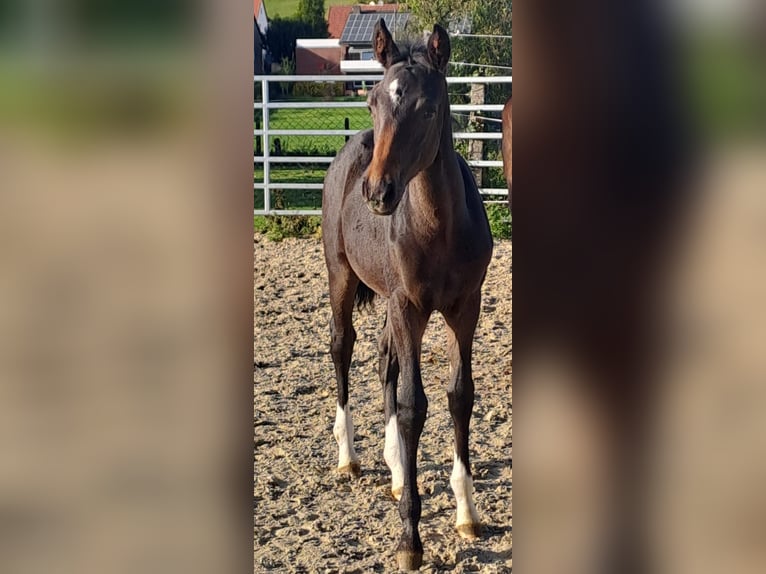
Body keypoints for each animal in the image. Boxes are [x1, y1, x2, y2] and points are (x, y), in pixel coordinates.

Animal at [320, 20, 496, 572]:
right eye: (374, 99)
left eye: (429, 108)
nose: (378, 192)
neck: (437, 227)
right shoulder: (408, 307)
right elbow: (414, 405)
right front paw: (410, 539)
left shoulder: (466, 308)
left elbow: (460, 395)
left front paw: (467, 513)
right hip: (342, 277)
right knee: (343, 347)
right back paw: (350, 457)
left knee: (383, 358)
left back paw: (397, 468)